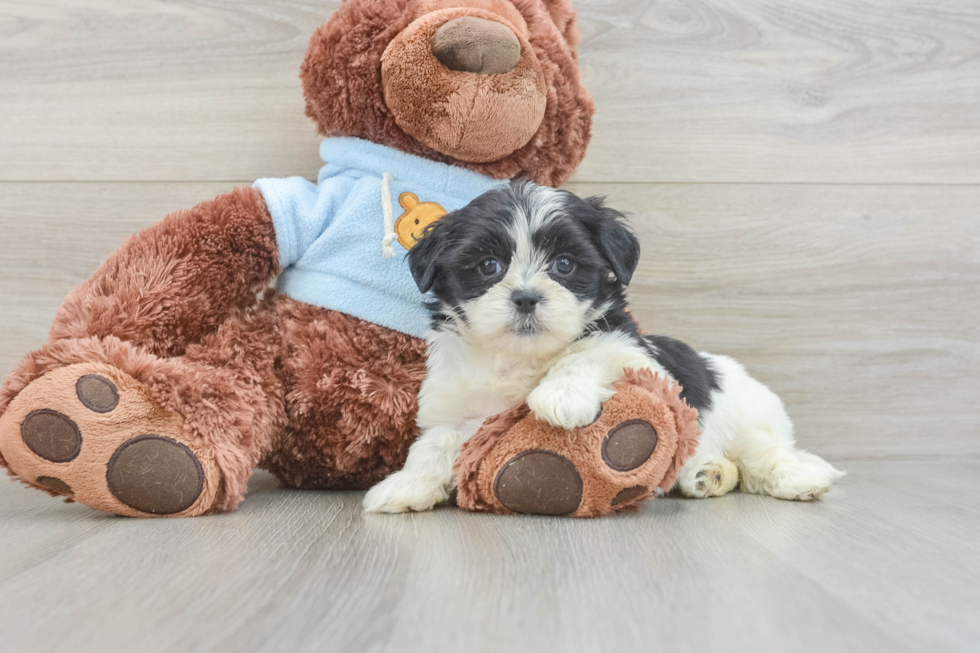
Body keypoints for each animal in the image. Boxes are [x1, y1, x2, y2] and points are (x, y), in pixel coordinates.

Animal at [362, 181, 844, 512]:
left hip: (749, 417)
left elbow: (589, 351)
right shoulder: (459, 407)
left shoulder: (638, 356)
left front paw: (560, 396)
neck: (522, 357)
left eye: (564, 264)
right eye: (487, 265)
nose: (525, 297)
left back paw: (798, 477)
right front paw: (405, 486)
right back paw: (707, 474)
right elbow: (433, 445)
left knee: (764, 454)